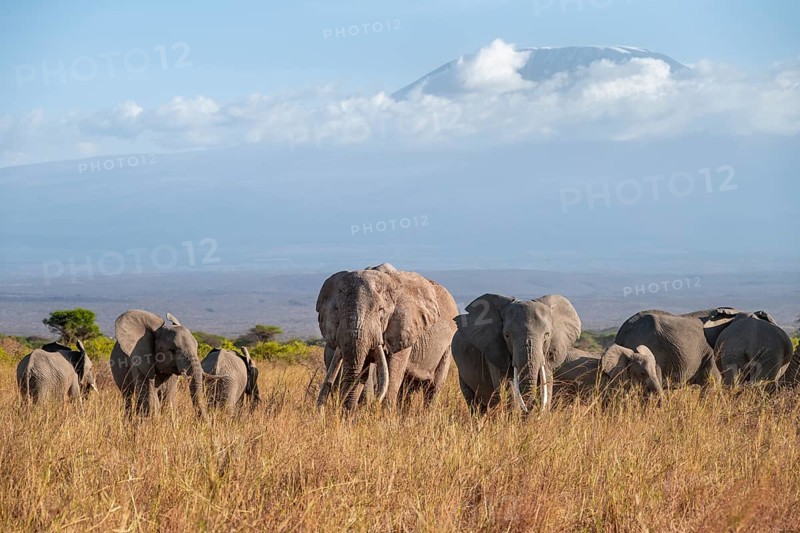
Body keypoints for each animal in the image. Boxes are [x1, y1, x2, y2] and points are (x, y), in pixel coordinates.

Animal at [316, 263, 459, 411]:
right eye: (337, 310)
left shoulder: (404, 327)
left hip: (447, 347)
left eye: (381, 310)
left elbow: (392, 372)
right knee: (407, 388)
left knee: (434, 387)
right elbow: (363, 370)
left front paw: (384, 414)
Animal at [451, 293, 581, 414]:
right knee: (474, 403)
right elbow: (507, 385)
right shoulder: (494, 350)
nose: (528, 410)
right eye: (507, 335)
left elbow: (546, 383)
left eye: (547, 335)